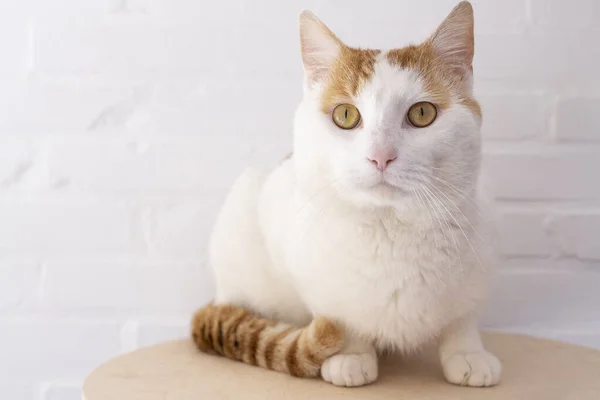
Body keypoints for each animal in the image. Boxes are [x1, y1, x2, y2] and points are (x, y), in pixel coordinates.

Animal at [192, 0, 502, 388]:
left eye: (422, 113)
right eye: (345, 115)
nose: (381, 156)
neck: (392, 229)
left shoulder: (481, 264)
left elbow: (462, 318)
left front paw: (468, 354)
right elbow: (342, 315)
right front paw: (351, 356)